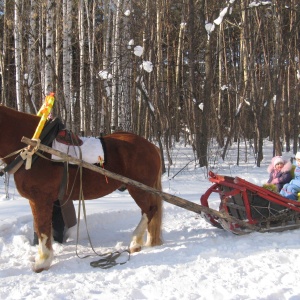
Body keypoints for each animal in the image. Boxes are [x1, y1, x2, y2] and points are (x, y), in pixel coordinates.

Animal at [0, 105, 163, 272]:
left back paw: (135, 242)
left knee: (150, 210)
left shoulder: (40, 198)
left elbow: (42, 229)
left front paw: (42, 262)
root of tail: (152, 146)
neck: (36, 147)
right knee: (149, 212)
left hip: (139, 189)